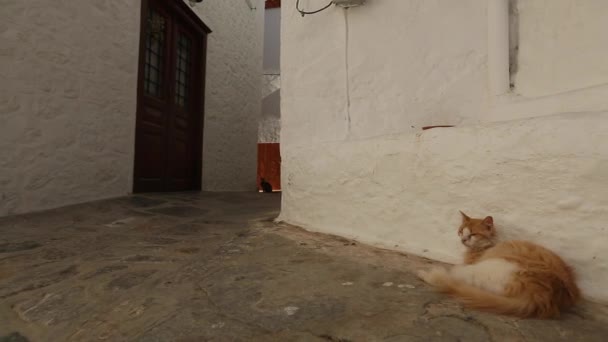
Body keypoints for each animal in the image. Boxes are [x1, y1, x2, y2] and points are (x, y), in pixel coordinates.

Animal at [418, 212, 580, 320]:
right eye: (461, 232)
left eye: (472, 234)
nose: (463, 240)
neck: (486, 246)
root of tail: (541, 296)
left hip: (487, 268)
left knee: (453, 276)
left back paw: (426, 273)